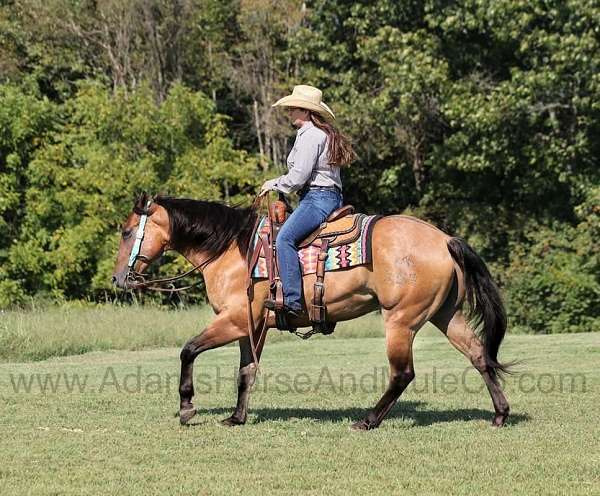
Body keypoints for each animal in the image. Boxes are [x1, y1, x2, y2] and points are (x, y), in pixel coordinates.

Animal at [110, 194, 508, 430]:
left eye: (128, 231)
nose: (118, 278)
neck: (232, 250)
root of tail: (443, 239)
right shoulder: (252, 328)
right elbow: (246, 373)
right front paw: (236, 418)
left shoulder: (234, 320)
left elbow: (188, 350)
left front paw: (187, 407)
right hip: (445, 314)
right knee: (479, 356)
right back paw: (501, 414)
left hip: (401, 320)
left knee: (403, 374)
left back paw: (367, 420)